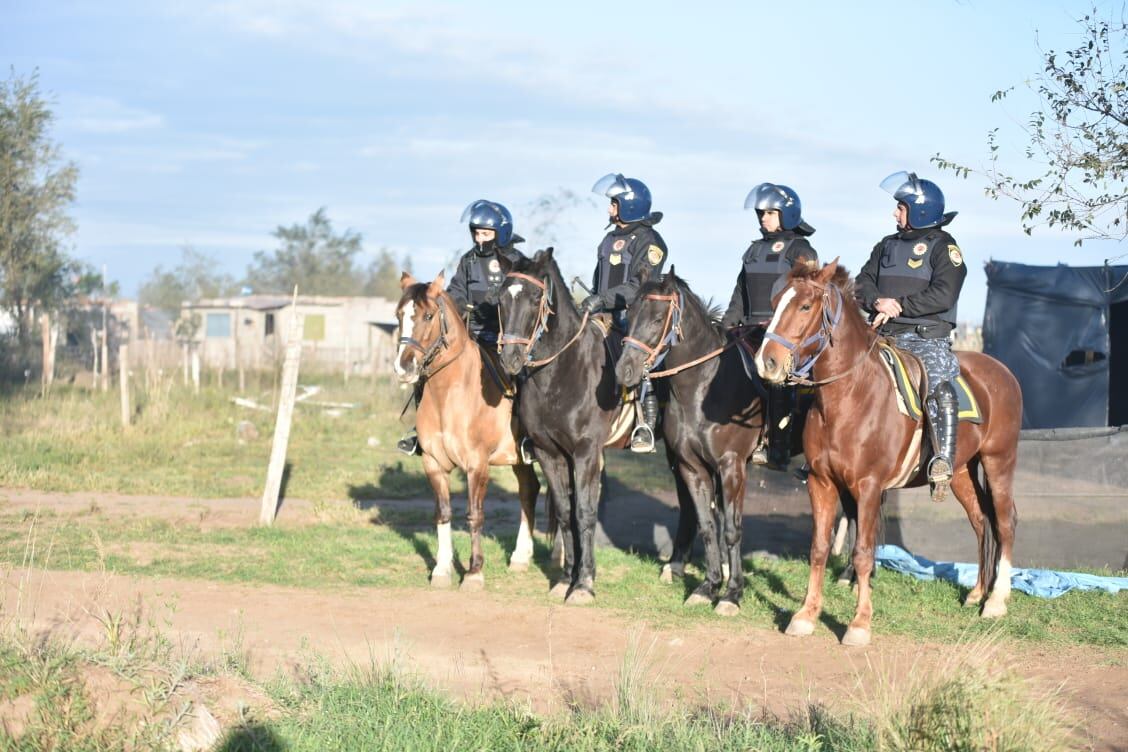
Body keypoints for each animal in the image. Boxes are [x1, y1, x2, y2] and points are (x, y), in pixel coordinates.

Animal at [392, 273, 541, 590]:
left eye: (428, 315)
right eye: (399, 315)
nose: (403, 367)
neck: (448, 395)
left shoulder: (477, 465)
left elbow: (474, 515)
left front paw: (474, 572)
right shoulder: (433, 464)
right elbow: (443, 513)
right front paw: (441, 569)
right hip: (520, 459)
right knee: (529, 490)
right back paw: (521, 556)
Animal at [498, 248, 631, 604]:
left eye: (535, 299)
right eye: (501, 298)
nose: (510, 359)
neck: (559, 372)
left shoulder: (585, 453)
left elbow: (584, 511)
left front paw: (583, 584)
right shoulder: (550, 453)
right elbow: (564, 511)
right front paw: (565, 577)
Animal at [618, 270, 767, 617]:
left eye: (658, 318)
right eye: (629, 314)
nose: (624, 370)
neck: (703, 387)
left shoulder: (732, 467)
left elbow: (732, 529)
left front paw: (732, 594)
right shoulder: (692, 466)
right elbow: (707, 524)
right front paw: (708, 586)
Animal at [758, 260, 1024, 649]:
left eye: (805, 306)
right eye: (775, 302)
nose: (768, 363)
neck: (849, 397)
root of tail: (1003, 373)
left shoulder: (869, 488)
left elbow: (864, 553)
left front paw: (859, 624)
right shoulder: (821, 483)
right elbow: (819, 548)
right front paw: (806, 615)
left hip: (998, 461)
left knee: (1005, 521)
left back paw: (996, 600)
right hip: (961, 470)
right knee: (980, 519)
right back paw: (977, 592)